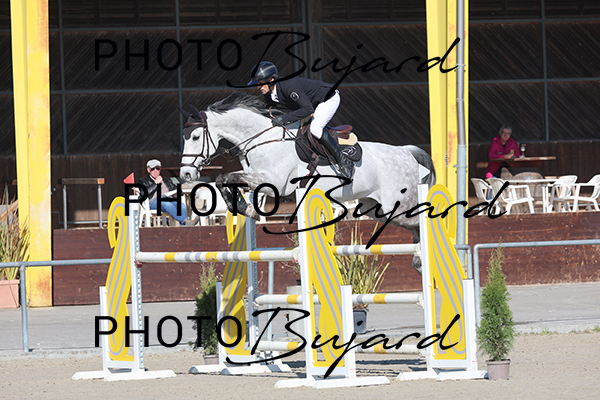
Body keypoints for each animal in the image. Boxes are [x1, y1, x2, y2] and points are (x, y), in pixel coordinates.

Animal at [179, 92, 435, 273]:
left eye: (195, 137)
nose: (186, 175)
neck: (263, 139)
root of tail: (406, 151)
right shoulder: (255, 177)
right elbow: (224, 180)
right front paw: (246, 208)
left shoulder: (273, 182)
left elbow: (226, 178)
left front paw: (247, 208)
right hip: (377, 209)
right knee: (414, 229)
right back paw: (418, 260)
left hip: (398, 205)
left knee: (421, 221)